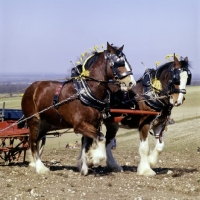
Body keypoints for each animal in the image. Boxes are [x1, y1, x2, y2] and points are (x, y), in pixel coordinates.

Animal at [21, 42, 136, 175]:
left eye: (127, 62)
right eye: (119, 63)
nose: (131, 83)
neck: (86, 92)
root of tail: (31, 88)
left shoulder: (93, 124)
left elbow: (86, 144)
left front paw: (84, 166)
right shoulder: (80, 125)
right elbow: (100, 138)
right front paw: (94, 159)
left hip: (45, 124)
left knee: (37, 139)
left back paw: (34, 164)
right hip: (34, 120)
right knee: (33, 141)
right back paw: (40, 167)